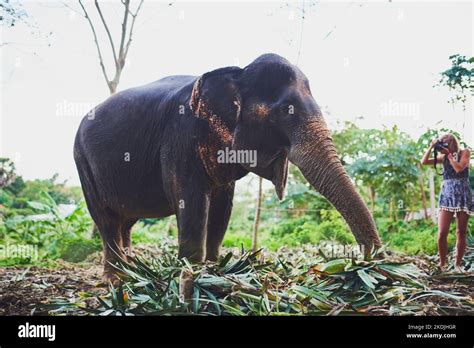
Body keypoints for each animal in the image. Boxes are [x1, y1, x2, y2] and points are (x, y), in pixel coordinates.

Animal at [73, 53, 382, 280]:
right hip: (82, 162)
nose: (367, 261)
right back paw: (118, 279)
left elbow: (223, 205)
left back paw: (132, 270)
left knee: (125, 221)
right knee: (106, 219)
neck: (237, 72)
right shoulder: (181, 135)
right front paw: (192, 272)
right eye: (286, 110)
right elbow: (191, 200)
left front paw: (215, 266)